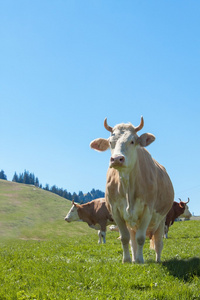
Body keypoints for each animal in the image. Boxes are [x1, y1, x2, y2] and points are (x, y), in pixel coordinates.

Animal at [90, 117, 174, 262]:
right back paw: (134, 258)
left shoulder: (147, 210)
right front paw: (127, 260)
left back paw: (157, 260)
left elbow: (141, 238)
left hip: (161, 219)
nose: (116, 159)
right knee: (132, 240)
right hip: (132, 223)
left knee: (158, 242)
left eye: (132, 141)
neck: (128, 186)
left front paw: (140, 260)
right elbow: (125, 238)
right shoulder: (116, 211)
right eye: (110, 142)